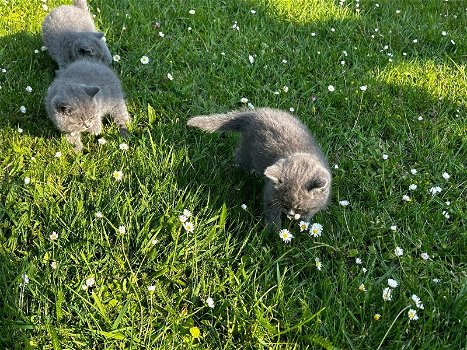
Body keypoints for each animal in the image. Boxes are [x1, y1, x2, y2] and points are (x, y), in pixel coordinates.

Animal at [187, 108, 332, 230]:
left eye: (299, 208)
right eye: (284, 205)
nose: (290, 215)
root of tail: (256, 113)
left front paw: (304, 224)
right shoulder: (270, 193)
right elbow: (272, 211)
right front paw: (275, 232)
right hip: (247, 152)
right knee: (240, 158)